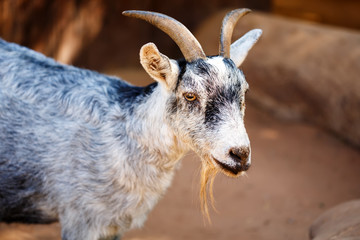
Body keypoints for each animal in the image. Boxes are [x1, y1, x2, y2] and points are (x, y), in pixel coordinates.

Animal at [0, 8, 260, 240]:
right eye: (190, 96)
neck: (123, 132)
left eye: (244, 92)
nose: (239, 154)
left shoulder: (113, 226)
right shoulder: (81, 219)